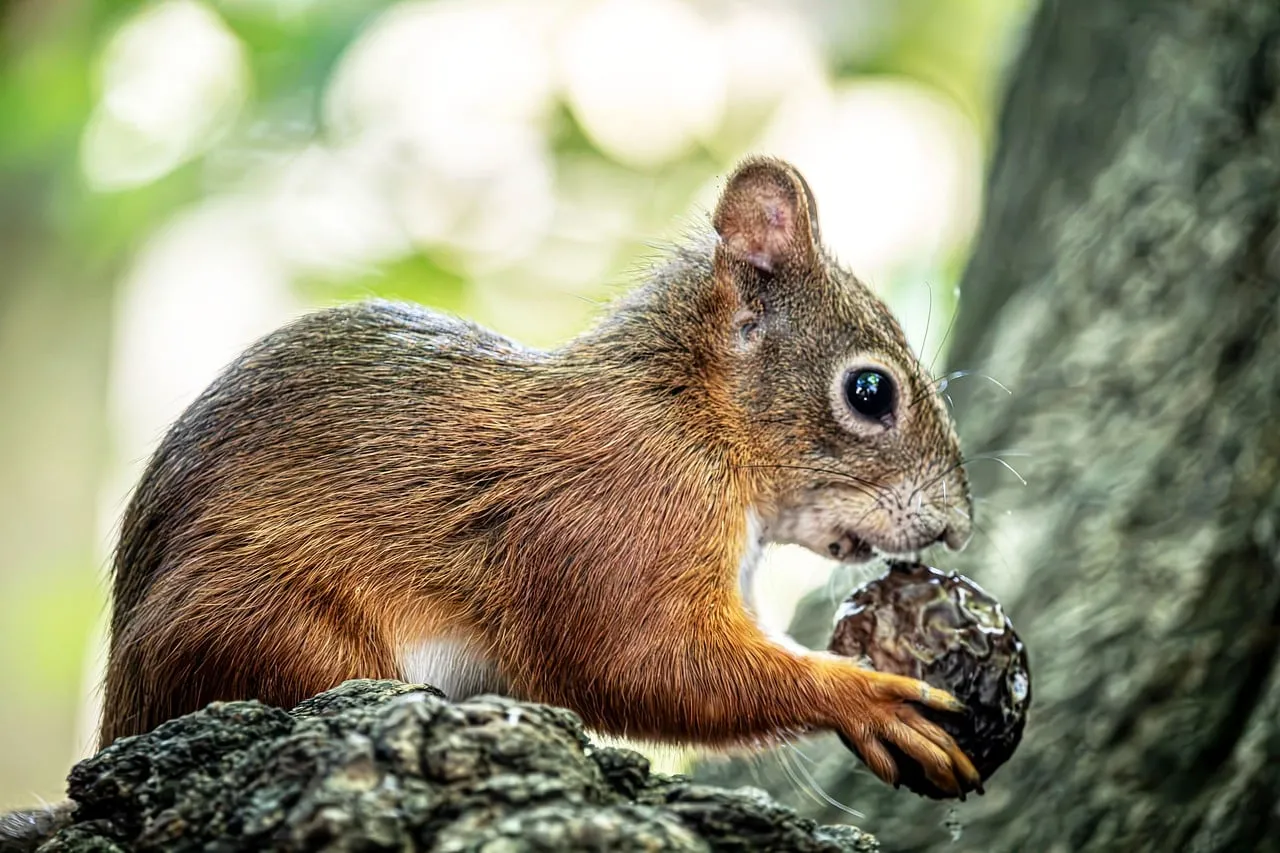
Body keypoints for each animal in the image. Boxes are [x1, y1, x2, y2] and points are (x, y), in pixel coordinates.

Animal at [98, 156, 980, 798]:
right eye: (869, 392)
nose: (957, 527)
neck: (690, 411)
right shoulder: (620, 511)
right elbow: (637, 659)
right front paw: (866, 696)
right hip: (268, 624)